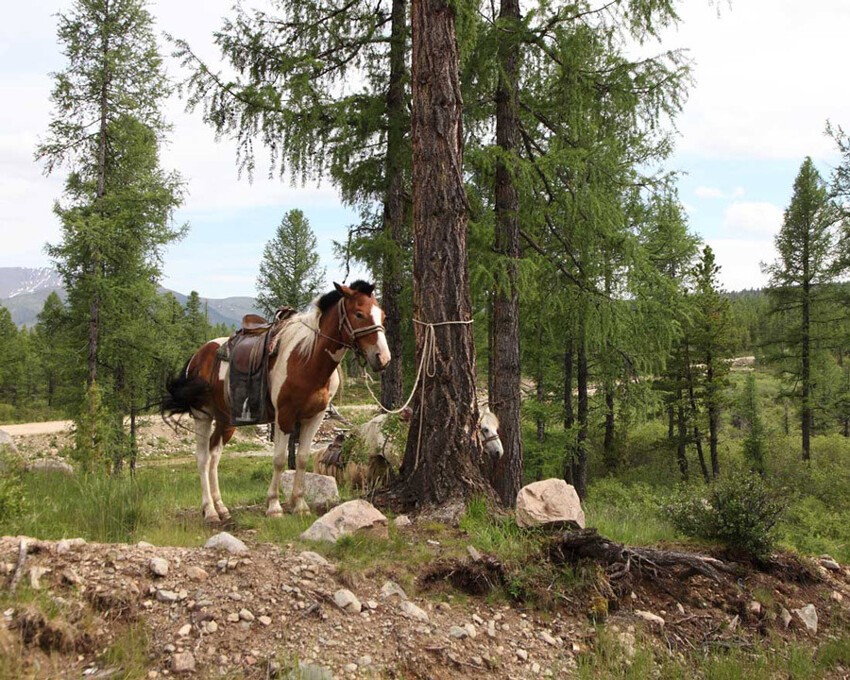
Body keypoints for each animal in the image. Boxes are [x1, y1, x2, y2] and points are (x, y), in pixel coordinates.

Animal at [162, 280, 390, 520]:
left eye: (383, 316)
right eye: (358, 313)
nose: (383, 358)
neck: (307, 359)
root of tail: (198, 355)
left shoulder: (314, 417)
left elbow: (302, 458)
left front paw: (300, 505)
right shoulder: (284, 415)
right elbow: (280, 459)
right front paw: (274, 506)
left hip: (226, 419)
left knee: (215, 456)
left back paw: (221, 507)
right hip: (202, 415)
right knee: (203, 458)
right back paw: (210, 510)